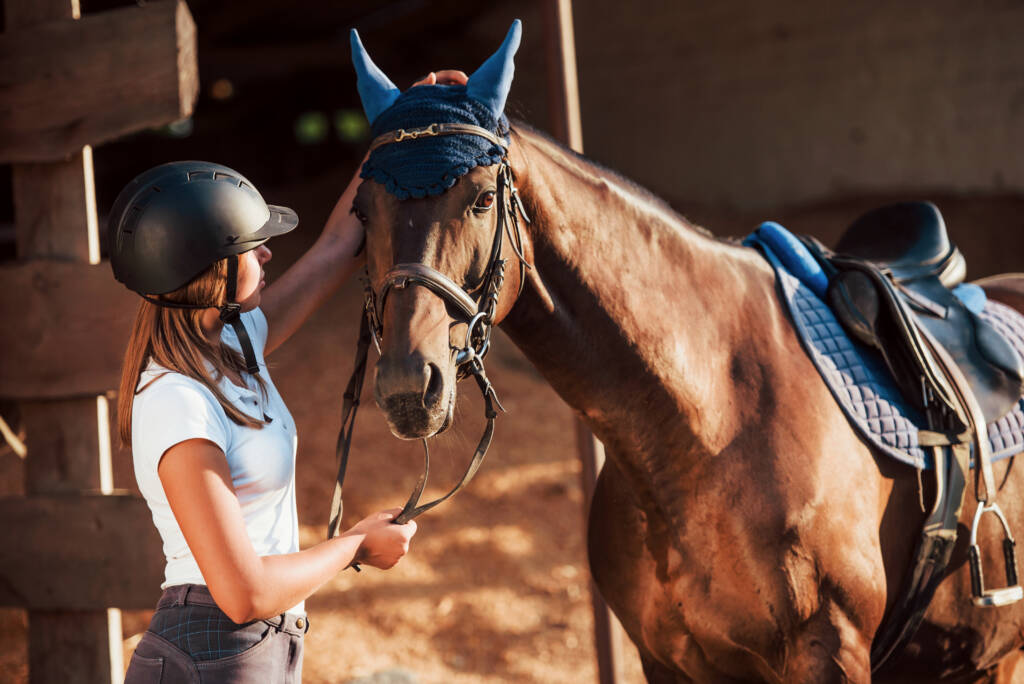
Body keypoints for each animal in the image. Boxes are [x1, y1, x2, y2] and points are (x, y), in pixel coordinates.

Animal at [348, 22, 1024, 683]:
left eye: (483, 197)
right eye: (362, 211)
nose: (408, 387)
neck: (710, 421)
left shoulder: (831, 650)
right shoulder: (664, 659)